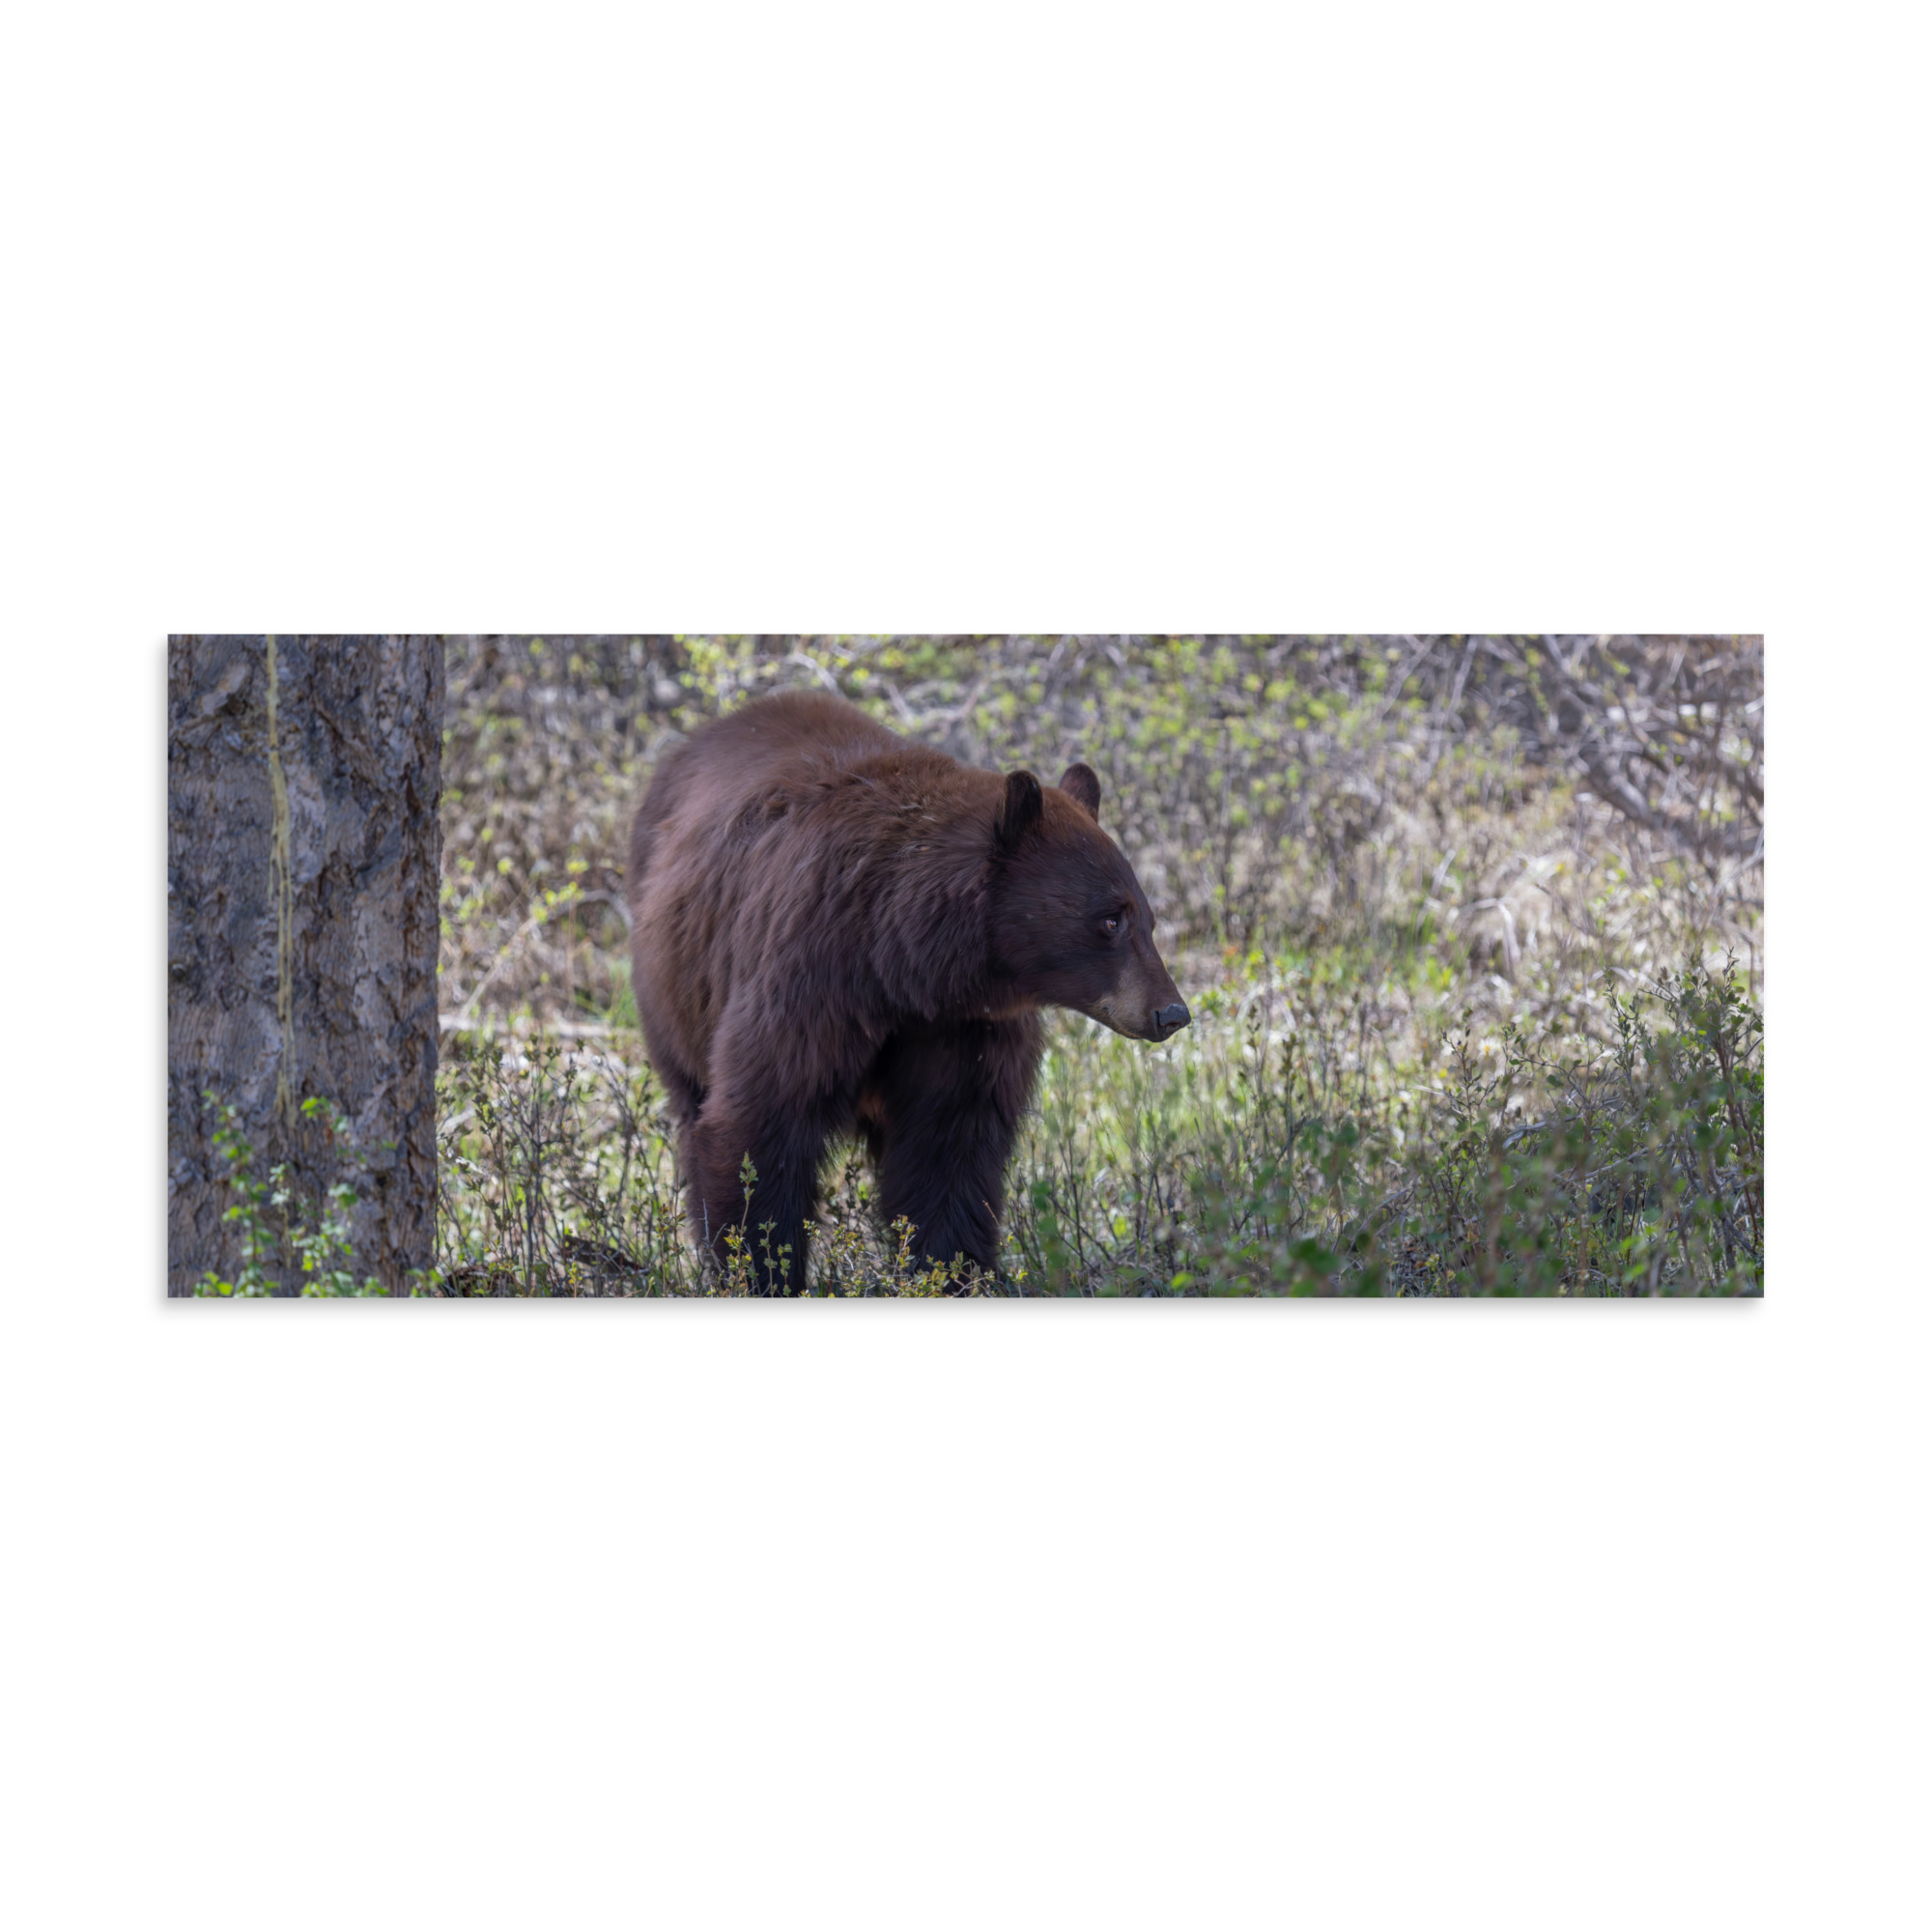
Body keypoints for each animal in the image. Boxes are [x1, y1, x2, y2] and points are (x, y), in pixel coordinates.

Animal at [625, 689, 1188, 1292]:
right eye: (1110, 919)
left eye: (1149, 919)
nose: (1171, 1012)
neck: (903, 964)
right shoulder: (809, 980)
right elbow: (762, 1122)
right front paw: (762, 1272)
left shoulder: (963, 1029)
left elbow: (949, 1152)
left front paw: (950, 1272)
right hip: (676, 990)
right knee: (692, 1101)